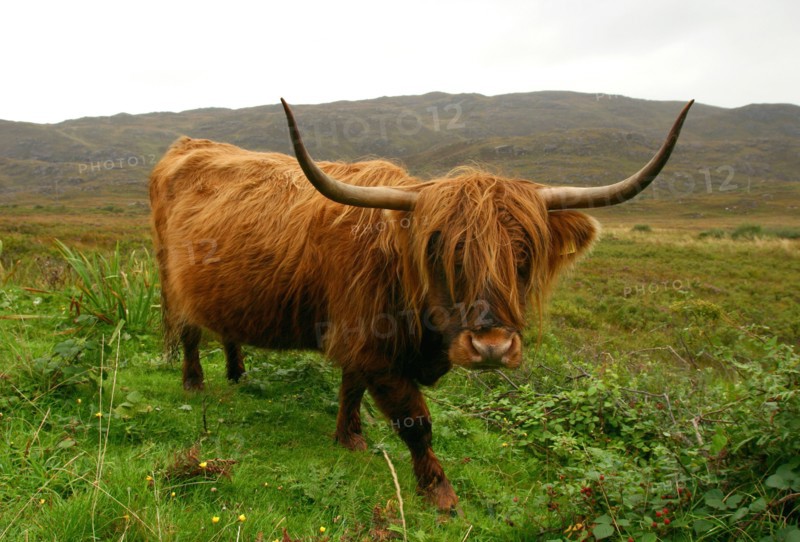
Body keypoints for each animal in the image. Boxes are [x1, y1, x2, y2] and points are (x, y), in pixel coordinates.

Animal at [149, 98, 693, 511]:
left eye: (522, 257)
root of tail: (186, 146)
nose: (492, 347)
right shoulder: (373, 346)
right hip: (170, 279)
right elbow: (416, 421)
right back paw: (195, 382)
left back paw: (238, 373)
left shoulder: (361, 339)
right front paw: (440, 493)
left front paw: (349, 438)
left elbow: (350, 388)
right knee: (189, 330)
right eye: (442, 253)